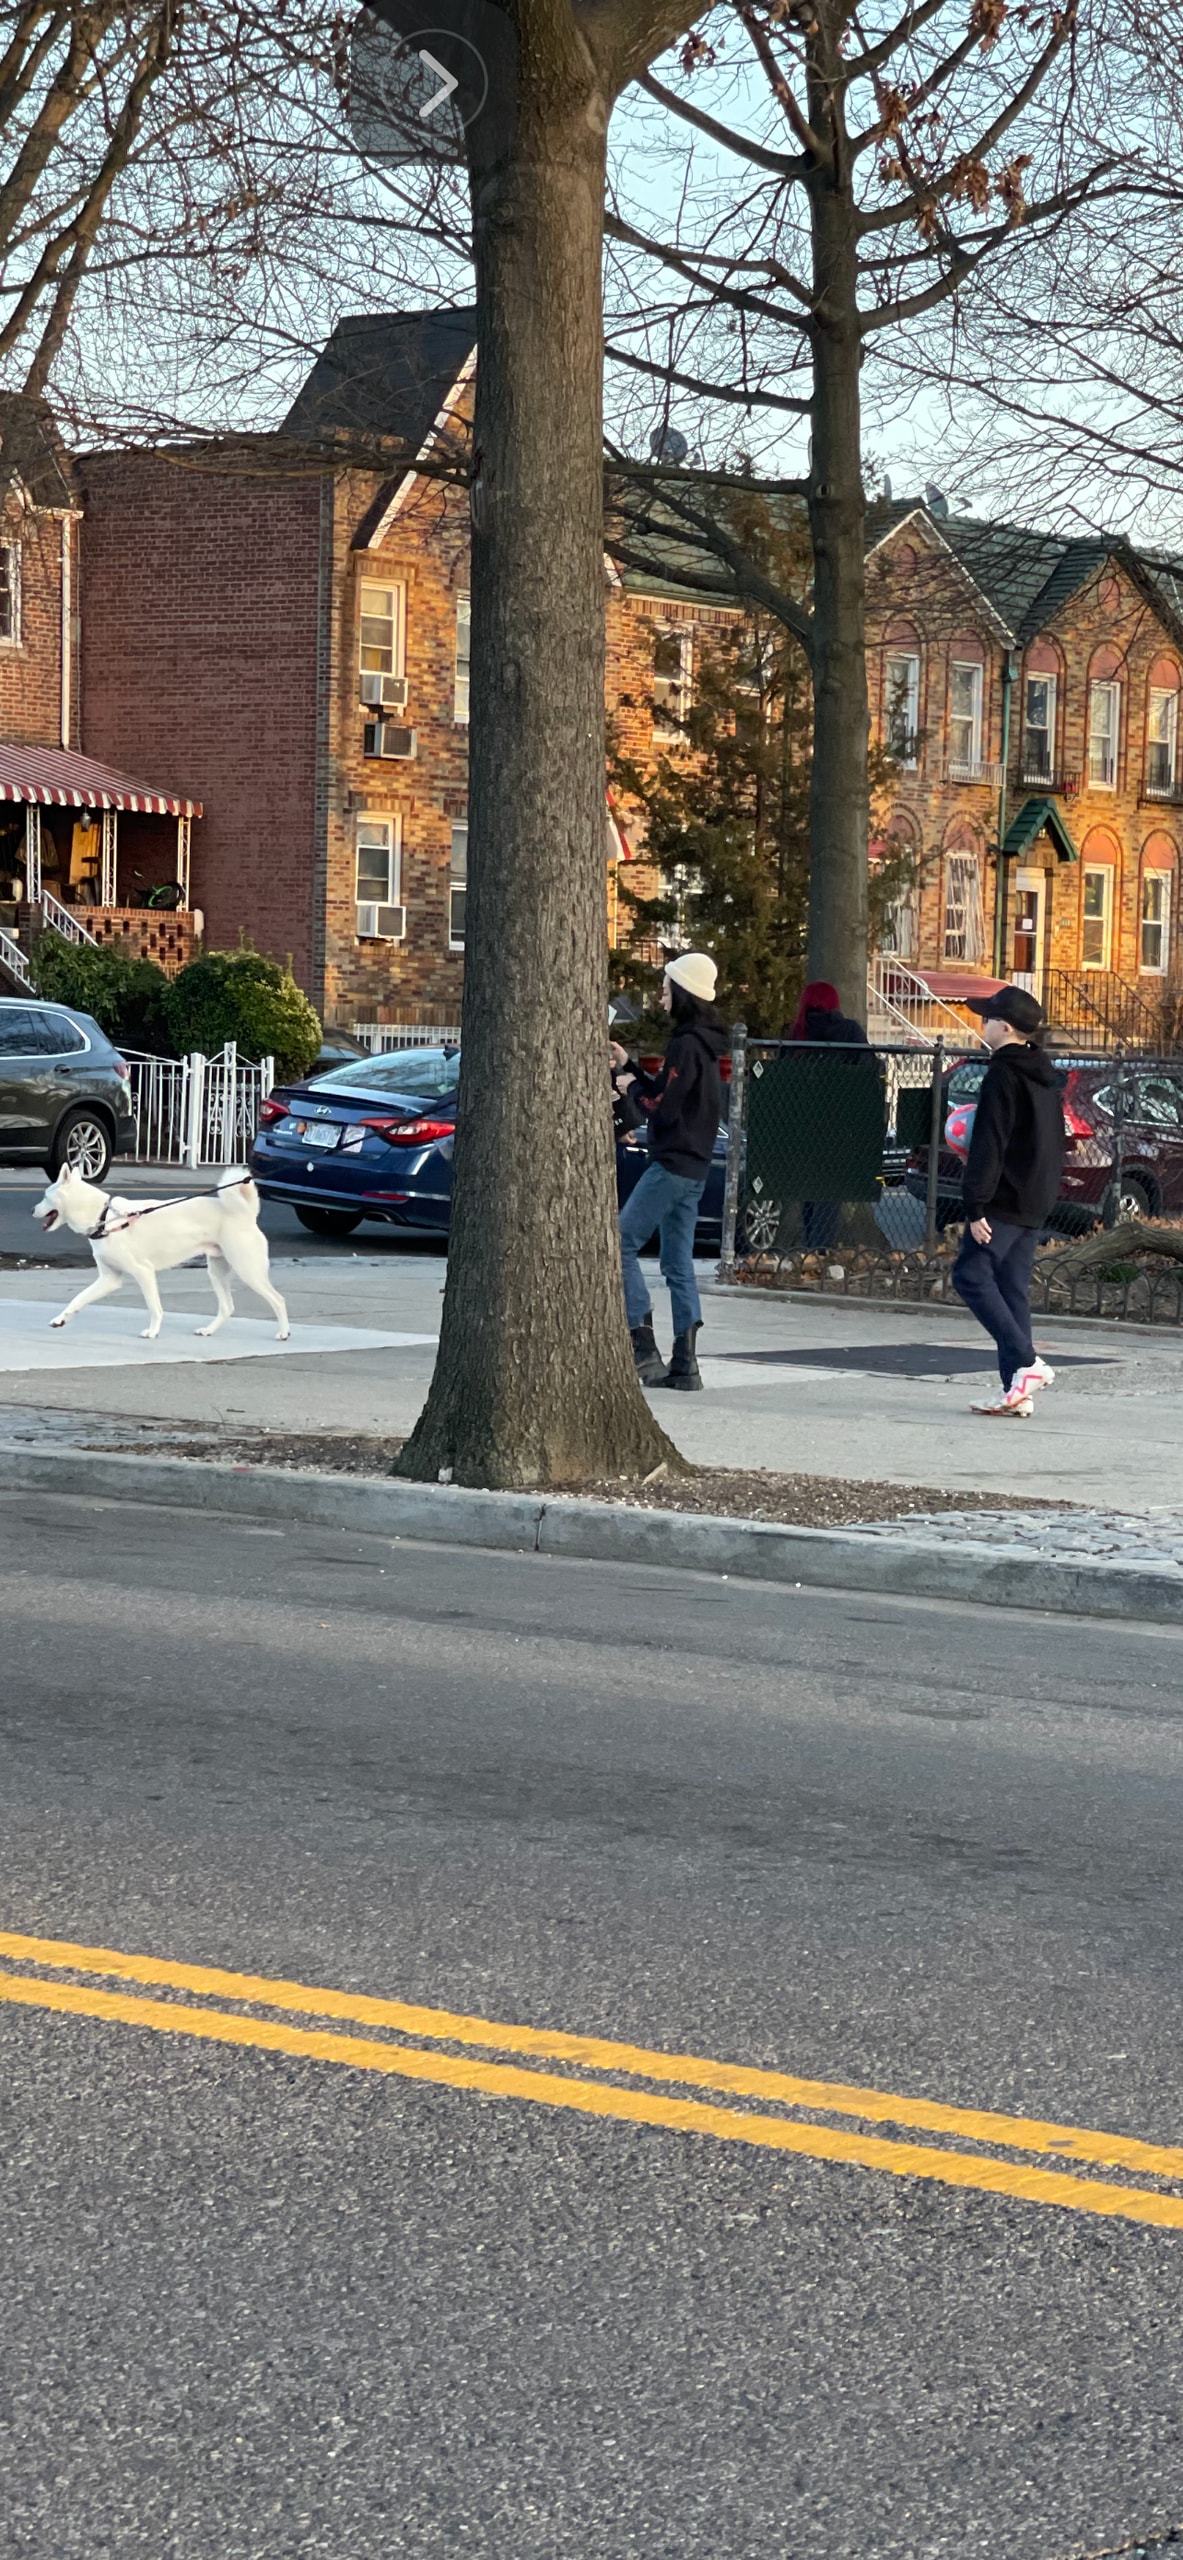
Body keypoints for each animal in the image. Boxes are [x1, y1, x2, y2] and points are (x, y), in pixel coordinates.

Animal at [32, 1172, 290, 1351]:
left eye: (45, 1196)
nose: (33, 1209)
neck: (104, 1217)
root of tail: (246, 1213)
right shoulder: (109, 1279)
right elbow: (78, 1299)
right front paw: (60, 1319)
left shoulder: (143, 1272)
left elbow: (154, 1307)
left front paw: (152, 1332)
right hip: (217, 1271)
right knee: (227, 1307)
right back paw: (208, 1330)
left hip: (248, 1270)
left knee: (278, 1300)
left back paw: (284, 1333)